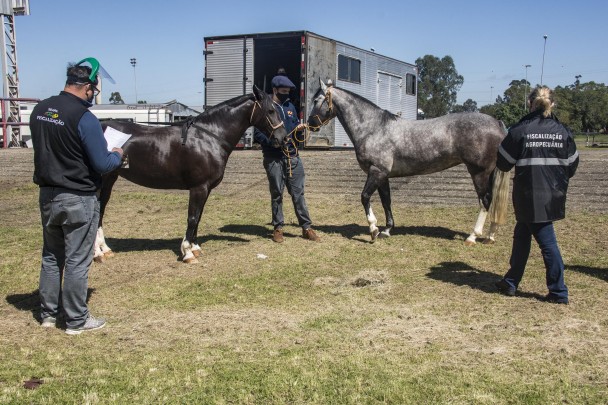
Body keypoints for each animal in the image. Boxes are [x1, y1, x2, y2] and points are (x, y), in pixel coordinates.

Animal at [94, 85, 288, 262]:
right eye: (270, 110)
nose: (283, 137)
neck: (209, 137)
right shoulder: (198, 188)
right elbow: (193, 218)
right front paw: (187, 252)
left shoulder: (206, 189)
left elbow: (199, 216)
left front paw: (195, 248)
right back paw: (98, 253)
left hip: (109, 180)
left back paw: (105, 250)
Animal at [306, 79, 510, 243]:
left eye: (316, 100)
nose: (310, 124)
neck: (373, 128)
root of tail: (497, 123)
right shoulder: (383, 175)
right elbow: (386, 201)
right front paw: (387, 230)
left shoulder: (376, 171)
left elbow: (364, 197)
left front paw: (373, 229)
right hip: (488, 173)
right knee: (492, 201)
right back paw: (490, 236)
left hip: (479, 173)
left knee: (485, 201)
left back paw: (473, 236)